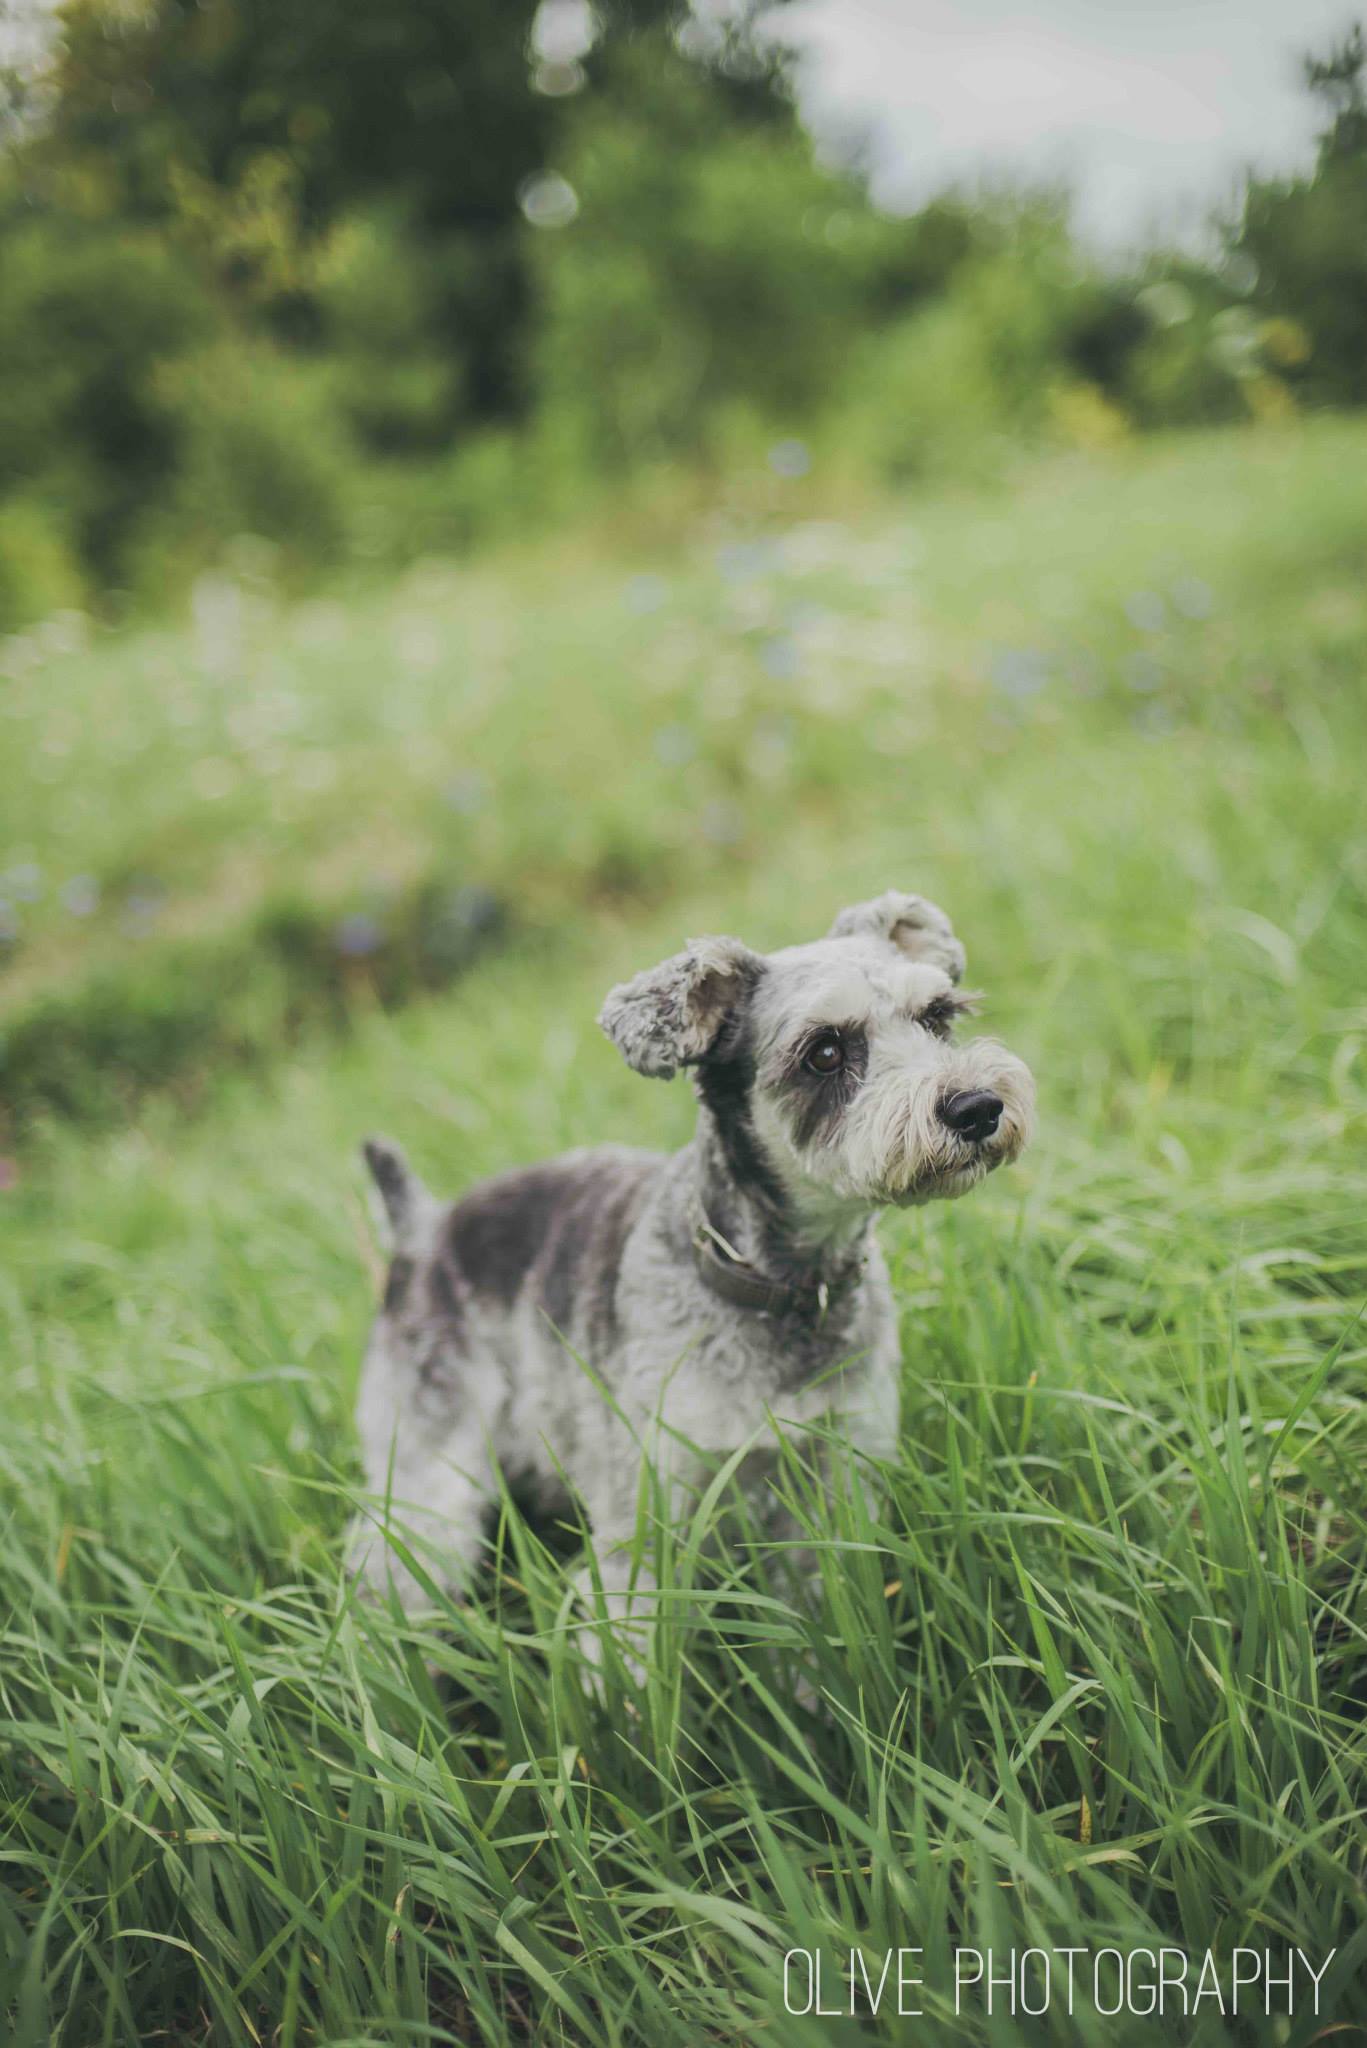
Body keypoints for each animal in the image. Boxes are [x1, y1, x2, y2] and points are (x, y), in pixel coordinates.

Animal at [348, 892, 1032, 1662]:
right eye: (824, 1051)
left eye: (938, 1015)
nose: (977, 1107)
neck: (778, 1289)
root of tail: (420, 1230)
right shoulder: (644, 1528)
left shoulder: (836, 1490)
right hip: (428, 1477)